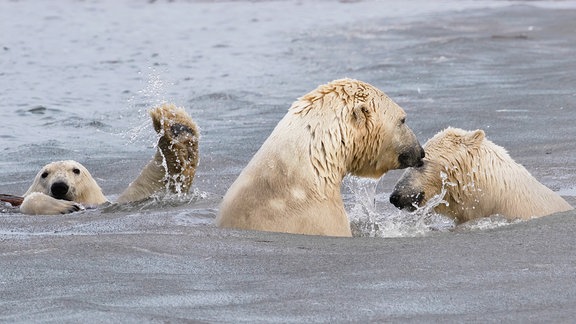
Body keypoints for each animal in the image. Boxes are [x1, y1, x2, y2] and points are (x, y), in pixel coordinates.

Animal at [16, 104, 200, 215]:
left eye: (76, 170)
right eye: (44, 174)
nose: (59, 186)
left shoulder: (107, 203)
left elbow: (150, 187)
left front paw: (177, 128)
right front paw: (64, 206)